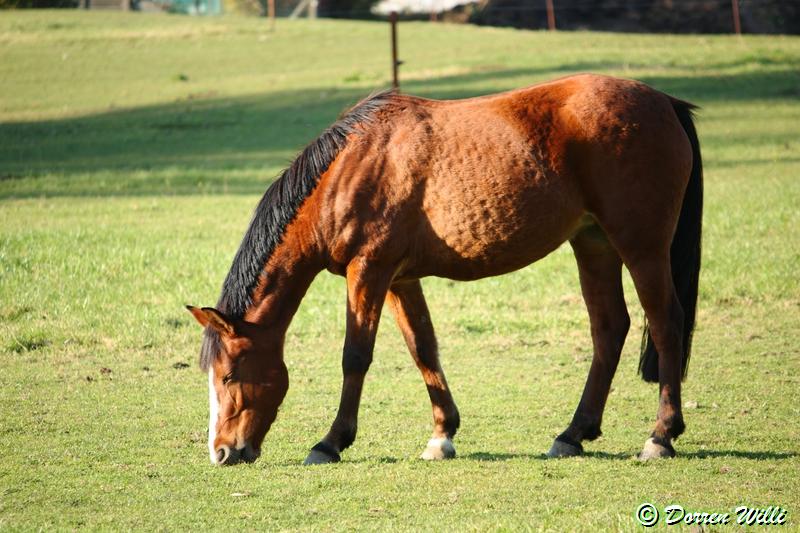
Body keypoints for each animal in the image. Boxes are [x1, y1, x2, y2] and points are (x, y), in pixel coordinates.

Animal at [186, 72, 700, 464]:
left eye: (228, 376)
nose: (222, 452)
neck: (350, 167)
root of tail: (664, 102)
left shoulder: (368, 271)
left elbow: (356, 357)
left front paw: (331, 442)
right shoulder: (400, 279)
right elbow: (423, 350)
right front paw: (441, 435)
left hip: (641, 246)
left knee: (666, 323)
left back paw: (660, 436)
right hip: (594, 244)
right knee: (609, 329)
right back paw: (573, 434)